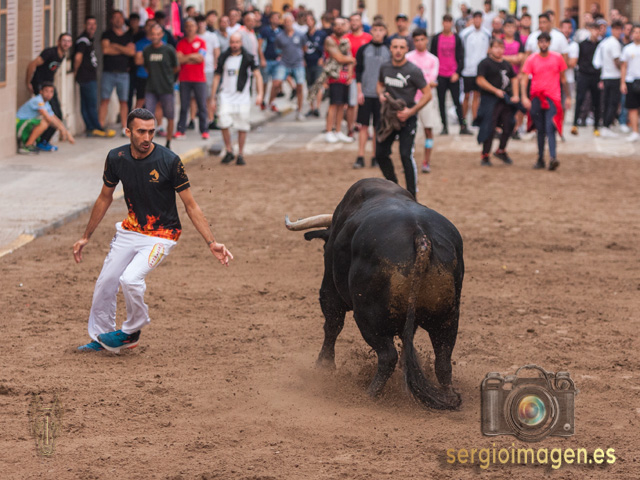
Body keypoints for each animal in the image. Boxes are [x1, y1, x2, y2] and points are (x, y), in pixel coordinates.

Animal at [285, 178, 464, 410]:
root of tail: (421, 238)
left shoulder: (330, 290)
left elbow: (332, 324)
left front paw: (324, 366)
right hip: (447, 317)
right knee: (442, 359)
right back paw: (447, 396)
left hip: (368, 317)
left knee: (387, 356)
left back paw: (369, 395)